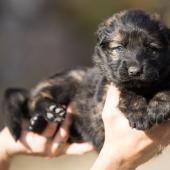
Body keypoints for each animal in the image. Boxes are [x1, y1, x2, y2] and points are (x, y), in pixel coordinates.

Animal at [3, 8, 170, 151]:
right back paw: (51, 111)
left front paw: (159, 106)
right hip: (69, 80)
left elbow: (166, 87)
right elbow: (129, 91)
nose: (134, 71)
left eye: (151, 48)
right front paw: (139, 113)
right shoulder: (113, 82)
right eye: (119, 47)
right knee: (34, 99)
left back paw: (37, 124)